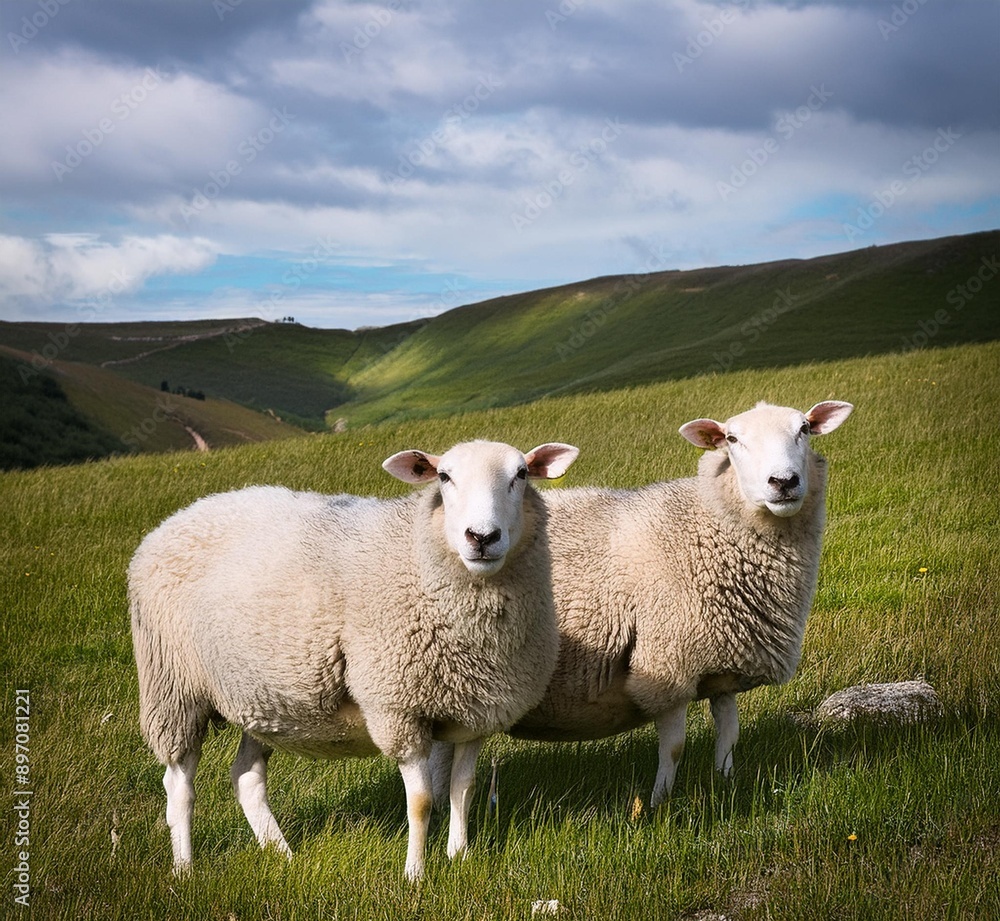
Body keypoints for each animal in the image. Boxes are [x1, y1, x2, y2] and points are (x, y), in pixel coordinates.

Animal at [129, 439, 579, 881]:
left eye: (521, 474)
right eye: (444, 476)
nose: (482, 537)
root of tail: (180, 516)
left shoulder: (476, 712)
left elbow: (462, 788)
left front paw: (460, 857)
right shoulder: (397, 709)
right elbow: (421, 801)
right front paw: (415, 875)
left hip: (259, 694)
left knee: (246, 777)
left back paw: (282, 855)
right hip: (173, 687)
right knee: (179, 785)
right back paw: (185, 869)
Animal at [505, 401, 853, 806]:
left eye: (804, 429)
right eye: (732, 439)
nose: (783, 482)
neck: (706, 526)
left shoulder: (723, 666)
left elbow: (729, 734)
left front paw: (725, 782)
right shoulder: (666, 666)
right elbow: (673, 747)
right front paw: (658, 804)